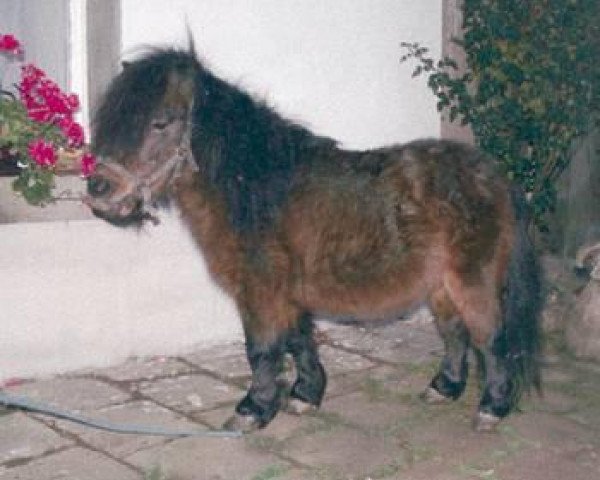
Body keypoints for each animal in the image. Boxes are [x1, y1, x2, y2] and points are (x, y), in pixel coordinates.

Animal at [85, 47, 544, 434]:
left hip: (472, 280)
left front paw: (253, 410)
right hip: (441, 286)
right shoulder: (286, 293)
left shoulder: (260, 291)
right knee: (454, 333)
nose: (97, 189)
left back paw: (491, 407)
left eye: (160, 122)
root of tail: (496, 178)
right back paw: (444, 388)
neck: (254, 187)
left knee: (492, 339)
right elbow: (298, 339)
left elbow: (262, 349)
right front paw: (306, 395)